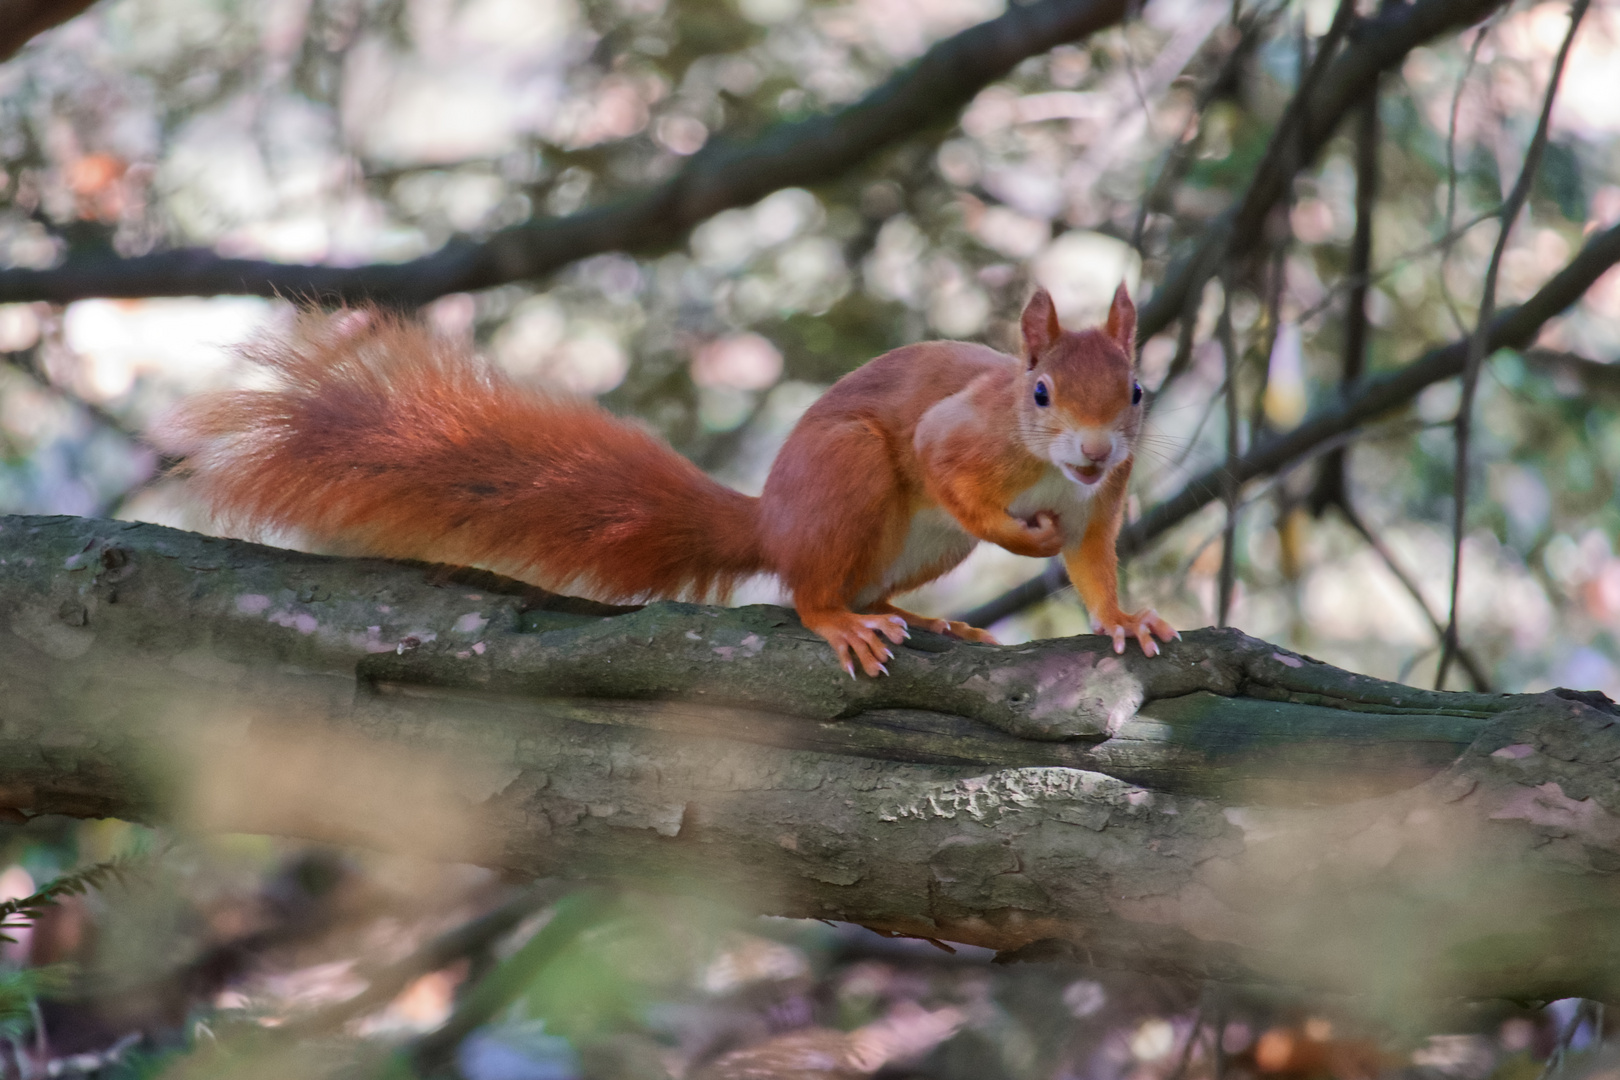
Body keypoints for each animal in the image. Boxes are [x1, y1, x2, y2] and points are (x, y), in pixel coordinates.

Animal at [157, 286, 1179, 676]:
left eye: (1136, 389)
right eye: (1038, 393)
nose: (1095, 452)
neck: (1056, 470)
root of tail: (772, 518)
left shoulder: (1104, 504)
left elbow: (1095, 563)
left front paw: (1126, 619)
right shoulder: (953, 434)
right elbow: (950, 471)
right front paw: (1022, 534)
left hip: (916, 547)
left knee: (868, 584)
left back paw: (925, 619)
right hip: (848, 474)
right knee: (813, 590)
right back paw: (842, 622)